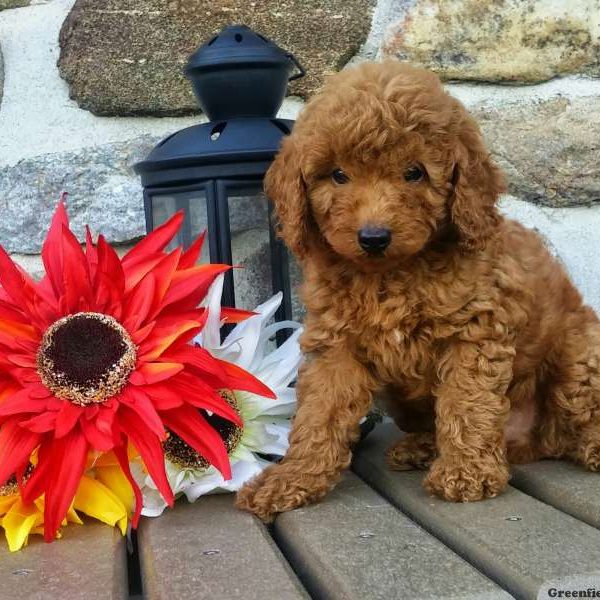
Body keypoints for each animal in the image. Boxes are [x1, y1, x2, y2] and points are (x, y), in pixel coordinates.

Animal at [236, 59, 600, 520]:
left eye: (415, 173)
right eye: (338, 175)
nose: (373, 237)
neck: (390, 275)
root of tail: (532, 440)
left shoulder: (474, 336)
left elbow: (467, 402)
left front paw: (466, 473)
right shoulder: (336, 346)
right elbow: (319, 416)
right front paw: (291, 478)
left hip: (578, 360)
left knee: (578, 421)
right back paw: (421, 448)